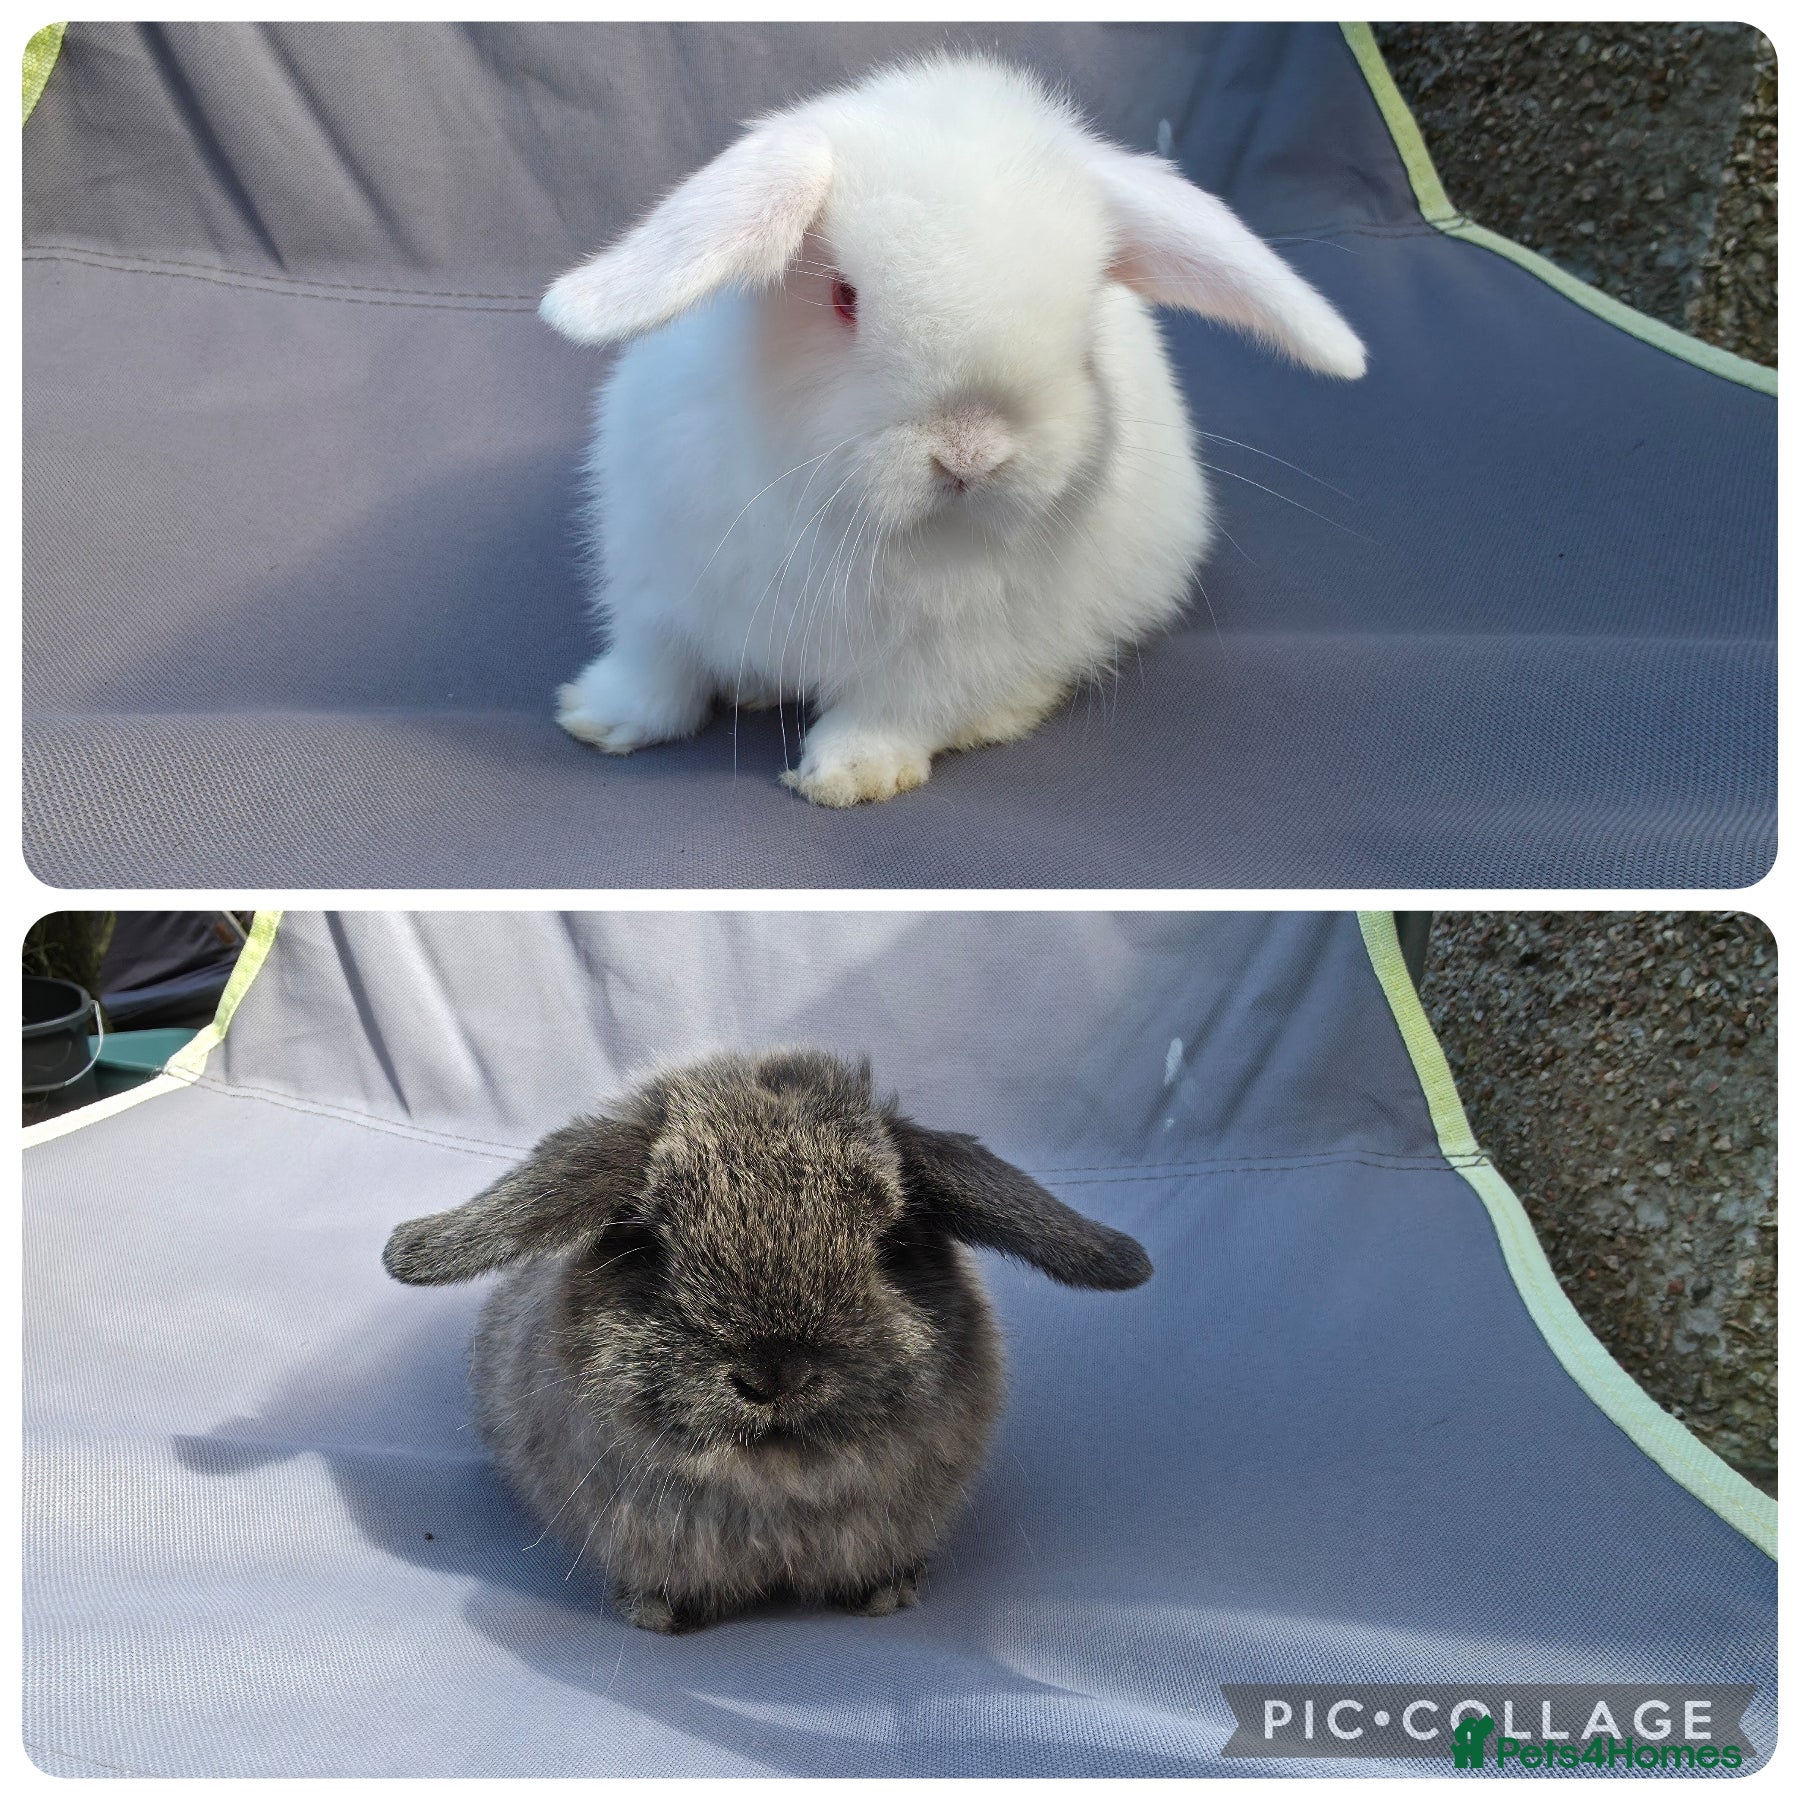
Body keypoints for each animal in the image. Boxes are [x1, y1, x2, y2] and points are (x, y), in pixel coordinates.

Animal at [382, 1048, 1152, 1632]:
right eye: (646, 1243)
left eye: (894, 1242)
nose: (774, 1374)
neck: (775, 1493)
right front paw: (658, 1617)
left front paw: (887, 1595)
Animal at [539, 54, 1366, 806]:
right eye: (844, 297)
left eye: (1083, 323)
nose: (972, 455)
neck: (846, 519)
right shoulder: (656, 585)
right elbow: (657, 671)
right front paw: (596, 719)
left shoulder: (945, 654)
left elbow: (892, 711)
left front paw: (849, 777)